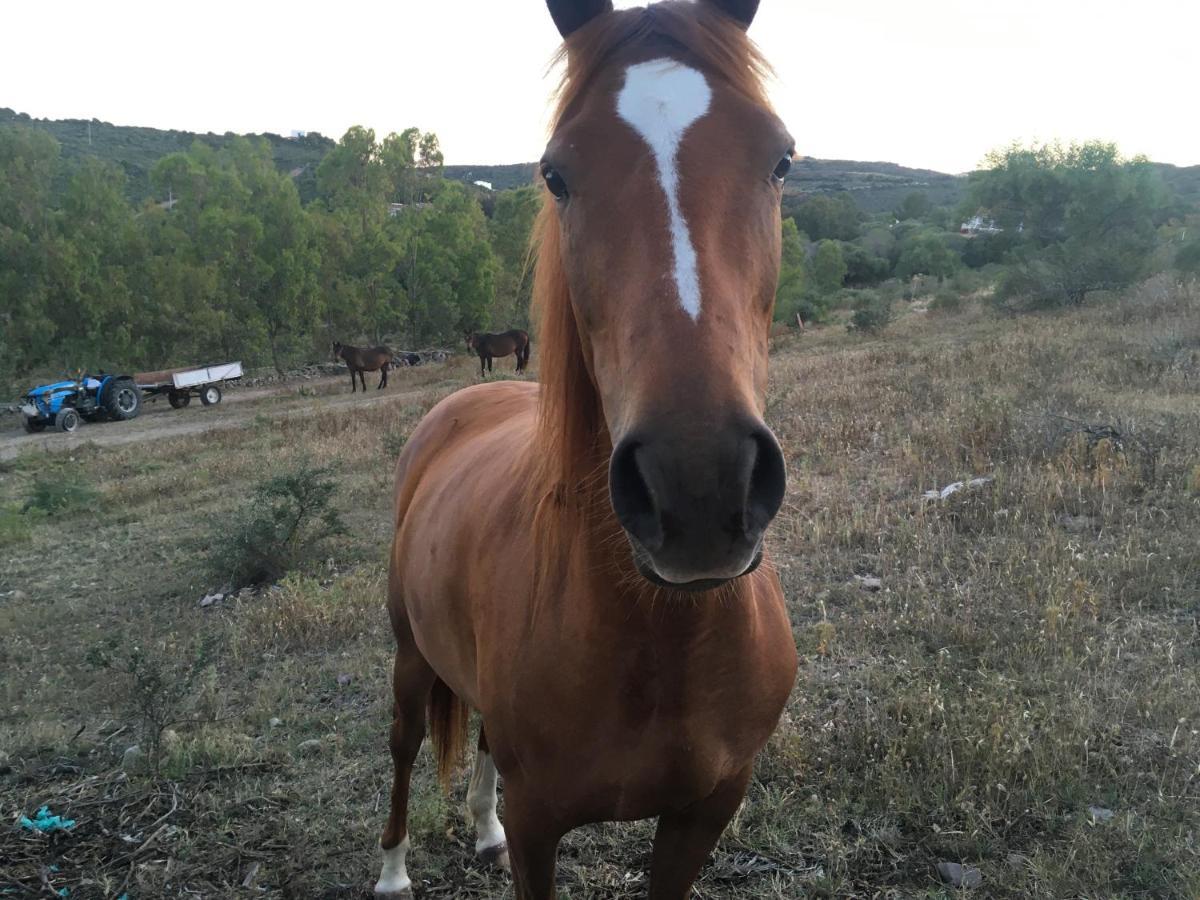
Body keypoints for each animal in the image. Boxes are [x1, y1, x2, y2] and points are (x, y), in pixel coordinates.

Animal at [379, 3, 801, 897]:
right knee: (402, 743)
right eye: (554, 175)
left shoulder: (705, 812)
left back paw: (482, 829)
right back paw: (392, 868)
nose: (698, 484)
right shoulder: (543, 826)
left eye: (780, 157)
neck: (661, 634)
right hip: (408, 650)